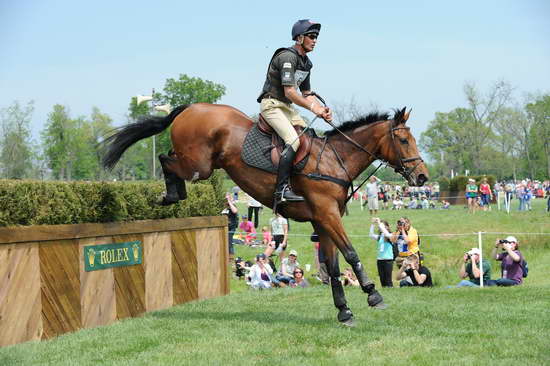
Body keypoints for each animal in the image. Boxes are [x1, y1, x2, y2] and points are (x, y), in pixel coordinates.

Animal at [103, 102, 432, 326]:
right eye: (404, 140)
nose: (422, 178)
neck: (334, 160)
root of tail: (192, 107)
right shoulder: (328, 216)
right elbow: (350, 254)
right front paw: (373, 294)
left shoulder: (323, 220)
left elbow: (334, 266)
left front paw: (344, 311)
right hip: (198, 164)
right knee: (165, 158)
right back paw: (171, 194)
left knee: (169, 158)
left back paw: (173, 194)